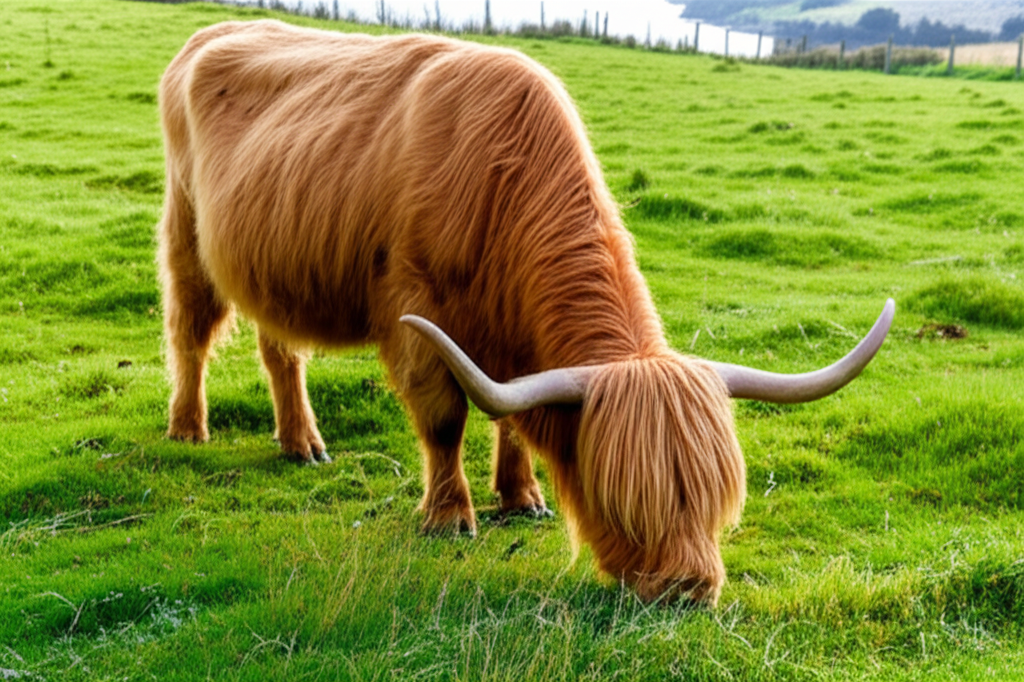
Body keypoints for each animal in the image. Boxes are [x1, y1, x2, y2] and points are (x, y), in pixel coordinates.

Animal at [158, 20, 893, 604]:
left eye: (716, 501)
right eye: (622, 501)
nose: (689, 587)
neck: (500, 181)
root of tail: (213, 31)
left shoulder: (506, 341)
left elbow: (510, 414)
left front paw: (521, 497)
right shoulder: (417, 313)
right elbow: (444, 418)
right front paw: (449, 516)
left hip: (267, 262)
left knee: (279, 348)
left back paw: (302, 443)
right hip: (187, 232)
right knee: (190, 333)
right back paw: (189, 428)